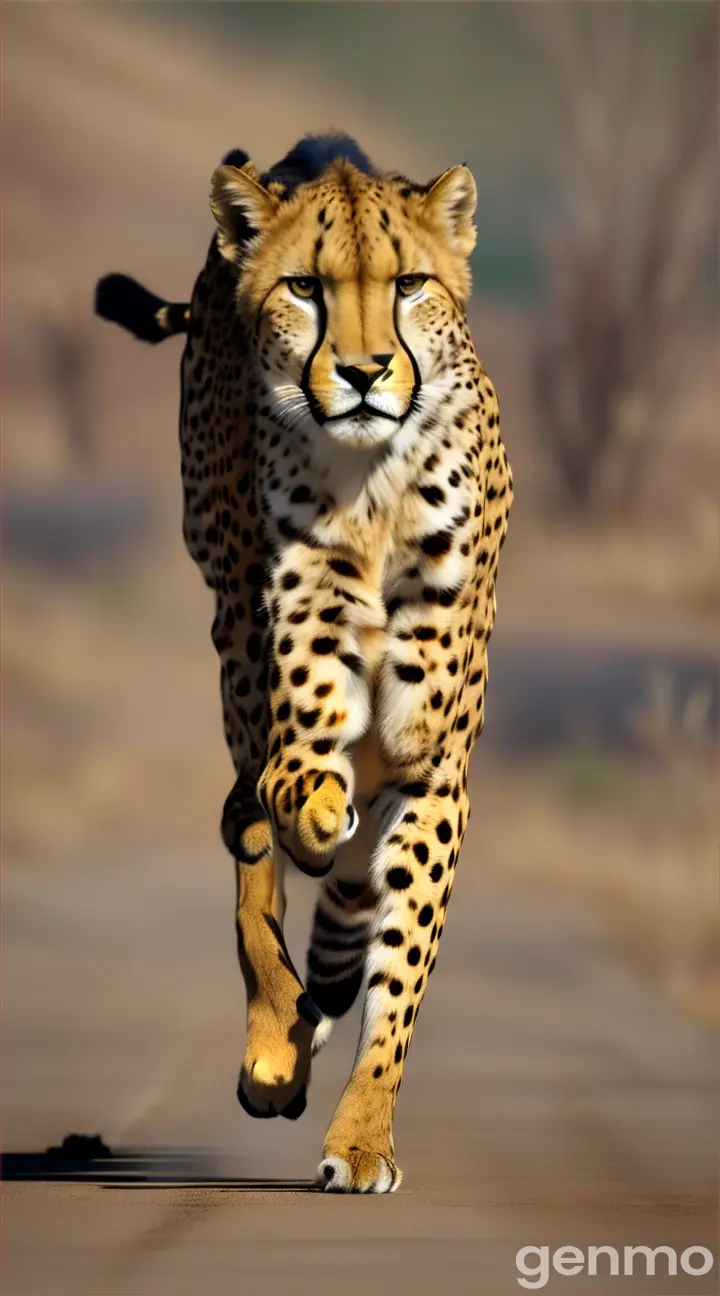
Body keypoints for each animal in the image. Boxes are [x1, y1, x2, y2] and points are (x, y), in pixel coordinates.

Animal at [95, 134, 512, 1192]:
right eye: (304, 288)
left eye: (408, 284)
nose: (364, 374)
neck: (372, 487)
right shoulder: (298, 709)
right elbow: (289, 807)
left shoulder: (430, 770)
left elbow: (399, 974)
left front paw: (361, 1138)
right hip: (233, 637)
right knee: (248, 839)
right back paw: (274, 1046)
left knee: (339, 895)